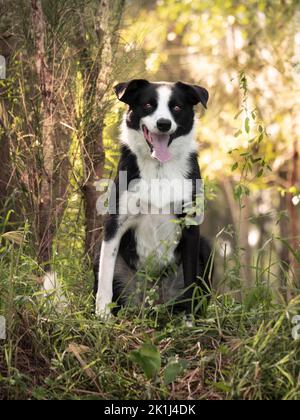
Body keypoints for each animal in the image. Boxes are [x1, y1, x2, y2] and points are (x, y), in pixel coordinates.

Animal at [95, 79, 212, 316]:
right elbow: (105, 276)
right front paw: (102, 314)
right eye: (148, 104)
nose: (164, 124)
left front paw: (189, 319)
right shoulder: (115, 223)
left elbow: (190, 281)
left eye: (176, 107)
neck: (159, 167)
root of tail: (152, 302)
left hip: (205, 247)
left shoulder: (191, 227)